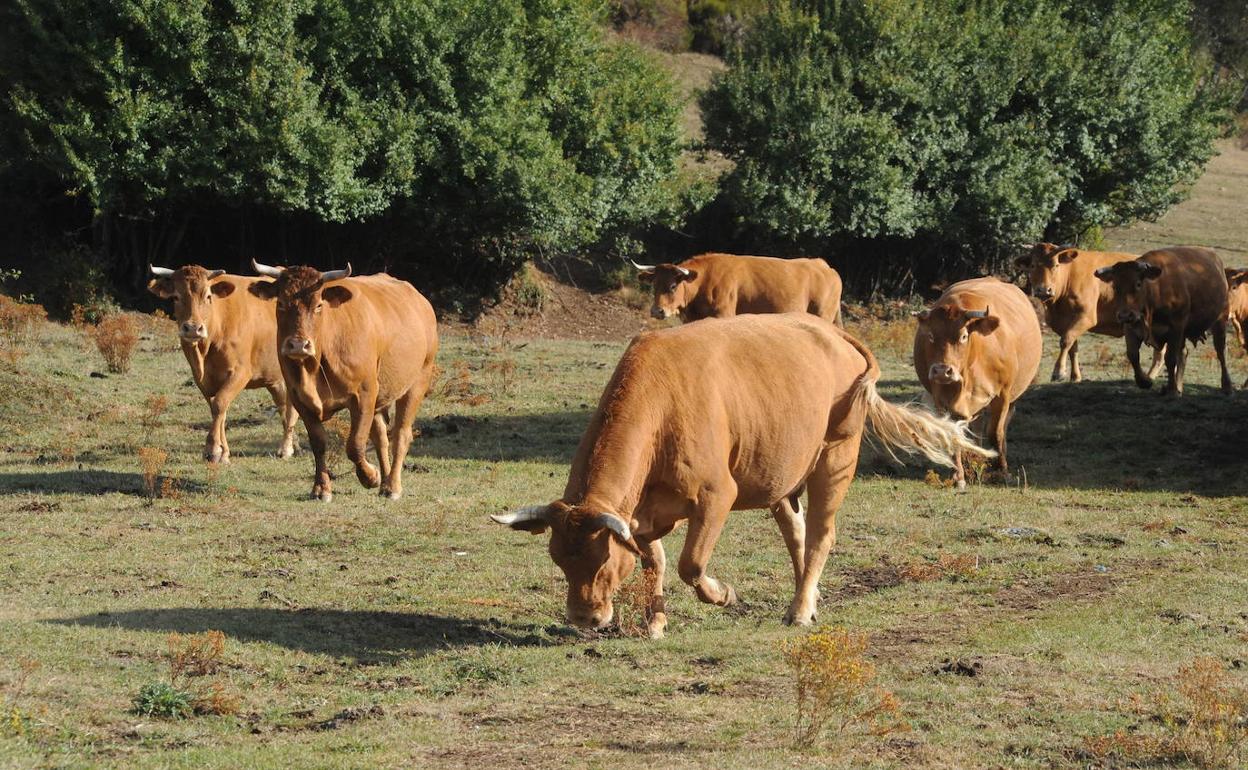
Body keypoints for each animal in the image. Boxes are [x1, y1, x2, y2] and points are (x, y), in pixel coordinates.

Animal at [491, 311, 988, 636]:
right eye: (558, 559)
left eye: (602, 560)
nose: (584, 619)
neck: (661, 405)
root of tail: (835, 334)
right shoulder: (640, 513)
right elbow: (657, 560)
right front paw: (655, 621)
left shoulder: (716, 496)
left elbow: (691, 564)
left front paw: (724, 594)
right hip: (782, 474)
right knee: (797, 532)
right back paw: (808, 597)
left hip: (836, 457)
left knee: (821, 534)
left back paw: (799, 610)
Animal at [913, 275, 1038, 486]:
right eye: (930, 335)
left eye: (963, 336)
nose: (942, 371)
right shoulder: (942, 401)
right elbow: (954, 436)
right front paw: (959, 475)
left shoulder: (1003, 396)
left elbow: (995, 433)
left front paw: (1001, 471)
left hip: (1013, 397)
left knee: (1001, 426)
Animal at [1018, 242, 1163, 381]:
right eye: (1032, 265)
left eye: (1056, 265)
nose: (1043, 290)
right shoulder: (1062, 323)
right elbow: (1072, 347)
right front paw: (1075, 376)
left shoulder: (1086, 317)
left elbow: (1066, 340)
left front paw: (1059, 372)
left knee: (1159, 354)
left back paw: (1150, 376)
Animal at [1098, 245, 1233, 394]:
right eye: (1114, 286)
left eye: (1138, 284)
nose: (1125, 315)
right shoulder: (1131, 327)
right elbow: (1133, 354)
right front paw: (1145, 381)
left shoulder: (1176, 327)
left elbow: (1170, 358)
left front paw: (1171, 390)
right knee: (1183, 353)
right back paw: (1178, 387)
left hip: (1220, 320)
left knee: (1221, 351)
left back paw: (1227, 386)